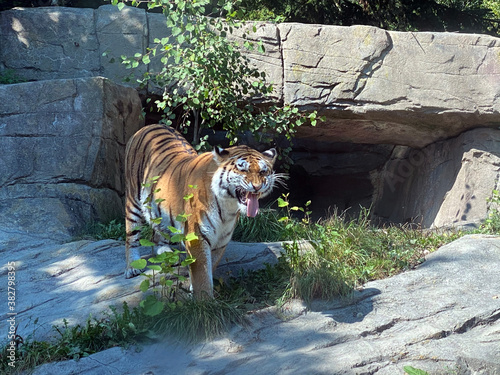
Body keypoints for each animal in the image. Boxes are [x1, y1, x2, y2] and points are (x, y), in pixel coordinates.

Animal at [124, 125, 282, 298]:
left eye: (263, 172)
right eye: (243, 170)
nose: (257, 186)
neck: (228, 205)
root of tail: (148, 127)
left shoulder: (221, 240)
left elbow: (209, 268)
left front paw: (195, 291)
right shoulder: (196, 236)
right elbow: (202, 274)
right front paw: (204, 301)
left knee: (157, 233)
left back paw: (166, 253)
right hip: (133, 200)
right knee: (131, 236)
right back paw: (132, 267)